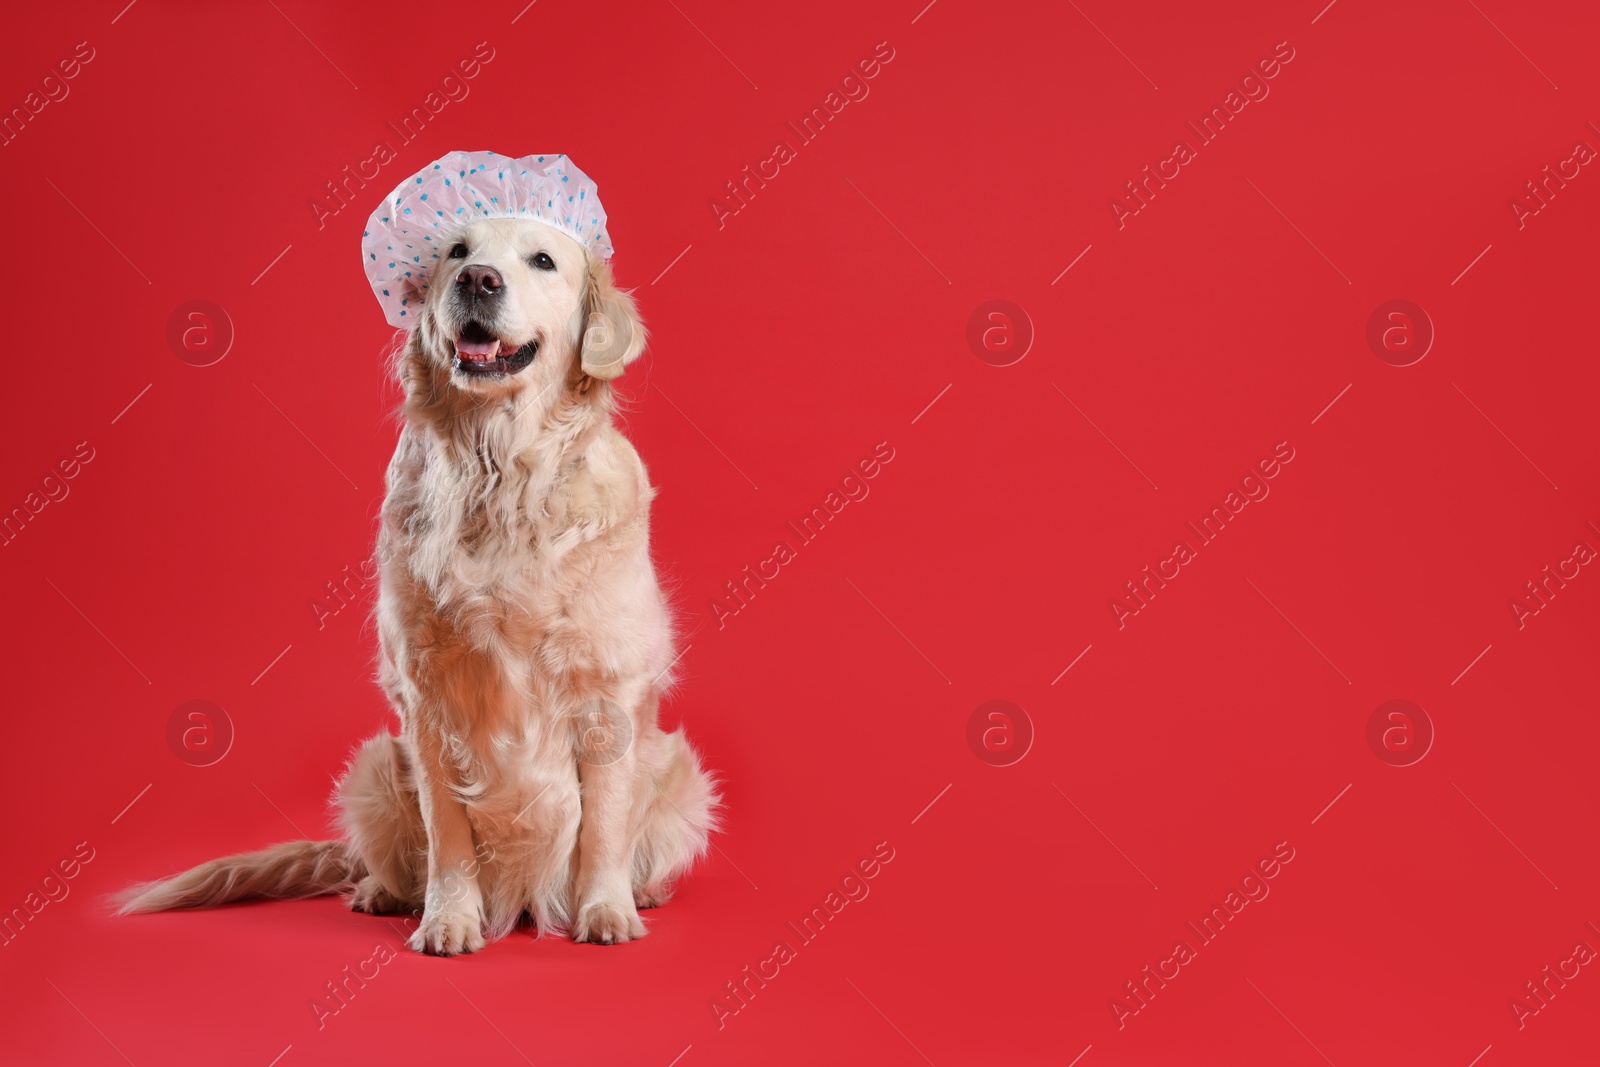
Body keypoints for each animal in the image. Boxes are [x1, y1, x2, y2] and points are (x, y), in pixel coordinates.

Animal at [121, 214, 723, 953]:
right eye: (457, 253)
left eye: (543, 260)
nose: (477, 280)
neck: (502, 477)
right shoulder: (428, 699)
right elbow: (447, 833)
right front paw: (449, 919)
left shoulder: (606, 691)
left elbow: (605, 825)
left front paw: (606, 911)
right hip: (378, 762)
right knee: (387, 858)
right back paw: (380, 892)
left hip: (679, 769)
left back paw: (642, 891)